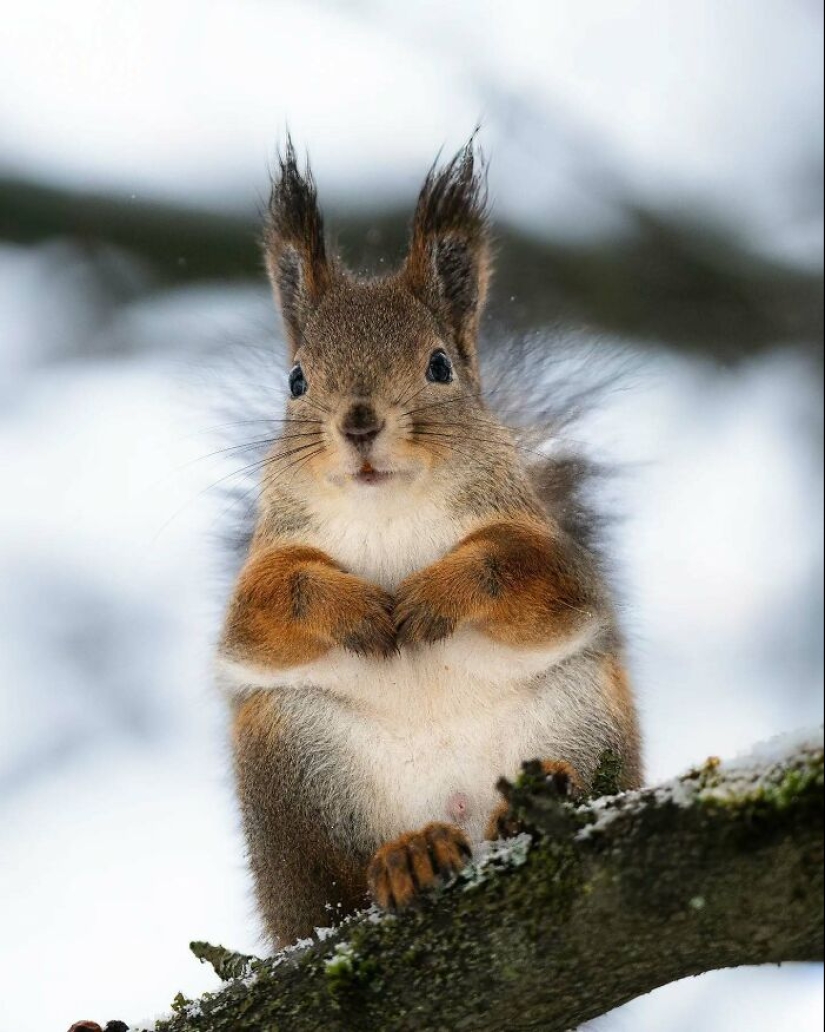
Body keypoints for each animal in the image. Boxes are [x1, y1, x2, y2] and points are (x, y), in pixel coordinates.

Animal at [215, 141, 640, 945]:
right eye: (295, 379)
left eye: (439, 364)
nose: (358, 423)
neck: (387, 509)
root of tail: (460, 818)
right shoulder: (260, 572)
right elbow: (270, 605)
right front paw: (353, 607)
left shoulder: (547, 552)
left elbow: (525, 576)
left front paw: (432, 597)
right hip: (291, 771)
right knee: (336, 891)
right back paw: (404, 858)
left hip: (583, 717)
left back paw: (539, 804)